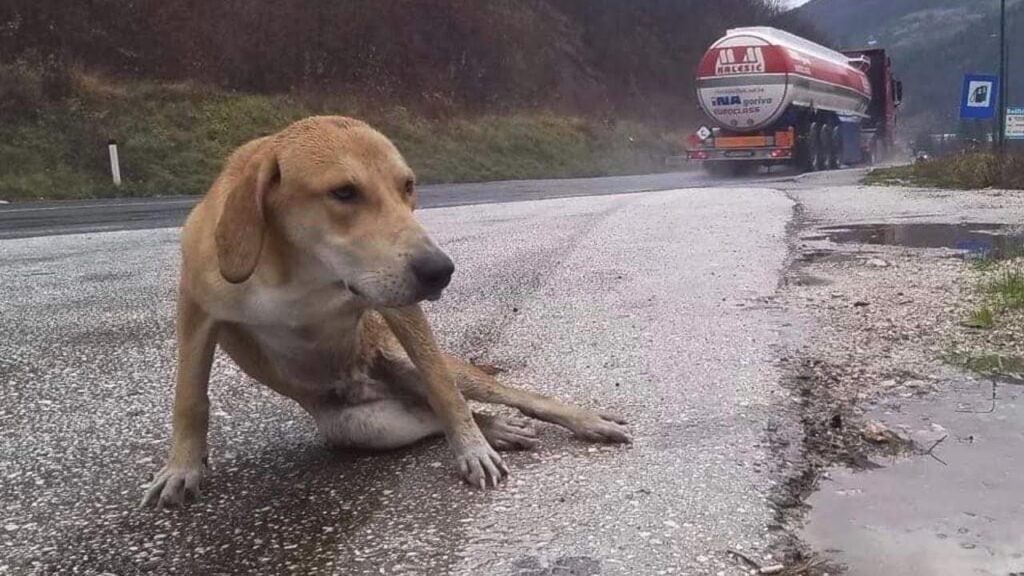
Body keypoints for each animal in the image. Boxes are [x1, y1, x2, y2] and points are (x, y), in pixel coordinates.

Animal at [140, 116, 626, 506]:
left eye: (407, 186)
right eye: (344, 192)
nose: (439, 271)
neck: (299, 269)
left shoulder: (398, 306)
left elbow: (446, 391)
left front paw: (471, 448)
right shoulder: (197, 310)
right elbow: (189, 396)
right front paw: (182, 467)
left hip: (407, 365)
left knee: (494, 395)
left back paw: (575, 422)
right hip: (364, 426)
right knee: (428, 414)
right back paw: (496, 429)